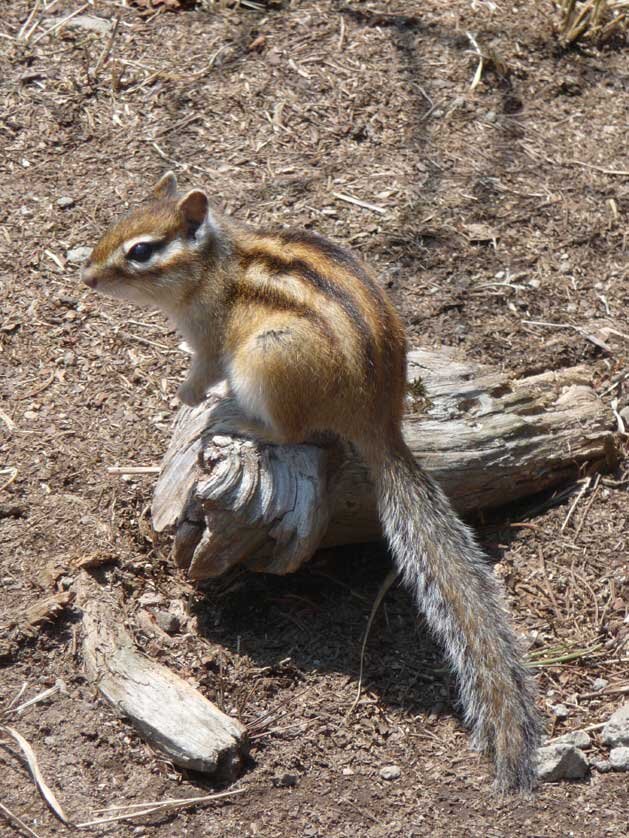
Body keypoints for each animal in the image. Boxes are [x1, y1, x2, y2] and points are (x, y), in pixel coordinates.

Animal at [82, 172, 541, 792]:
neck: (213, 267)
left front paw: (185, 397)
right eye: (117, 226)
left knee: (295, 430)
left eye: (141, 251)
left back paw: (239, 419)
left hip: (267, 359)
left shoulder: (209, 342)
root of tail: (378, 419)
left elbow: (200, 373)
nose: (88, 276)